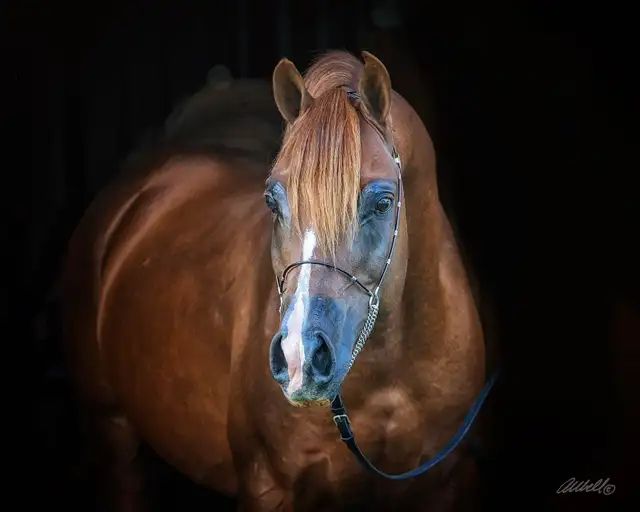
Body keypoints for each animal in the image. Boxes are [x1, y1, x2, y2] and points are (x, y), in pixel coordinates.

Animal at [62, 50, 494, 511]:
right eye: (272, 199)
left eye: (383, 202)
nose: (298, 357)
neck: (387, 381)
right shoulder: (268, 488)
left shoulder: (447, 482)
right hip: (112, 434)